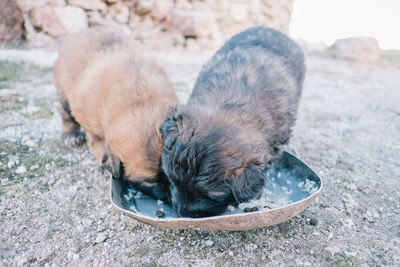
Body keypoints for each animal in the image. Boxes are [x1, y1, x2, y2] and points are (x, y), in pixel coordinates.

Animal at [54, 27, 178, 201]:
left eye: (171, 175)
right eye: (150, 183)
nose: (173, 199)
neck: (138, 103)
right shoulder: (90, 122)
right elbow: (98, 144)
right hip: (64, 92)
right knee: (66, 115)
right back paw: (70, 136)